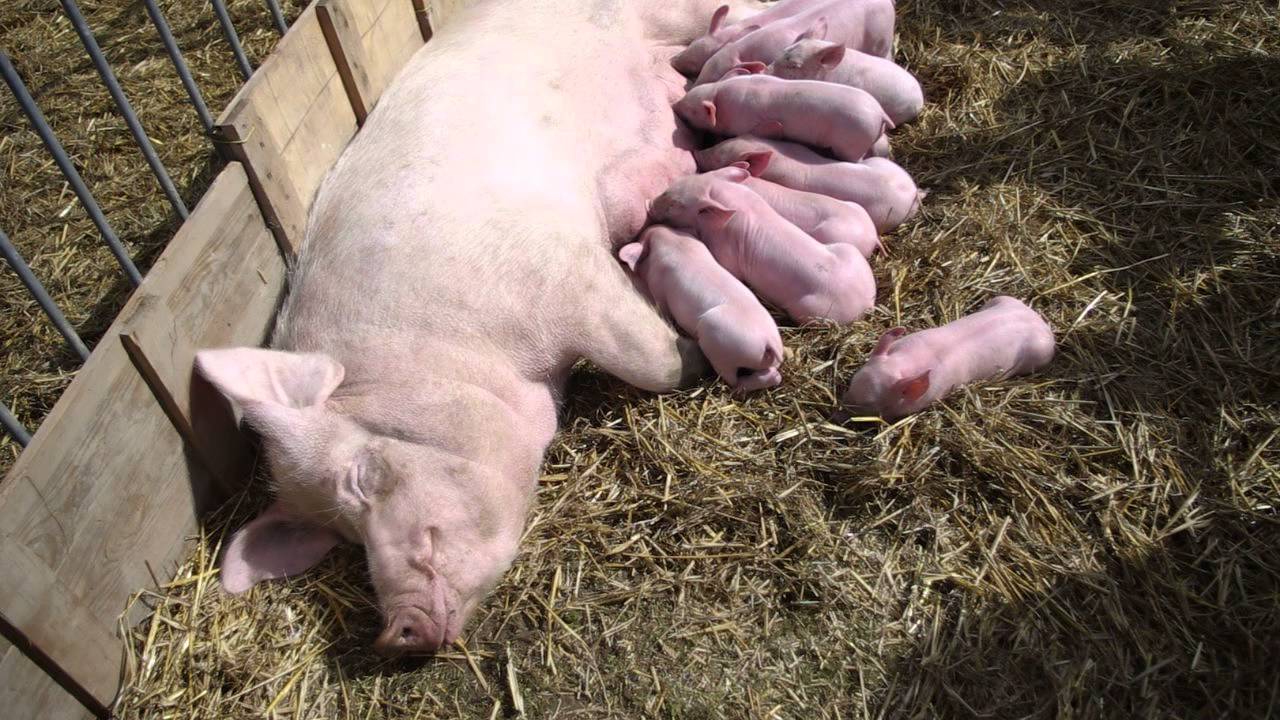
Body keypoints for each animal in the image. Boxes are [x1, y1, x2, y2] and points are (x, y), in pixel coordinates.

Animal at [619, 225, 784, 393]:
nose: (651, 225)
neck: (675, 243)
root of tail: (769, 341)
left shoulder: (658, 287)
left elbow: (662, 308)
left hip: (721, 348)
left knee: (732, 379)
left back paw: (738, 387)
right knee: (774, 375)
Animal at [841, 296, 1055, 420]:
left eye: (868, 404)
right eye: (851, 383)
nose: (835, 413)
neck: (905, 363)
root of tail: (1038, 320)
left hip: (1042, 353)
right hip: (1002, 298)